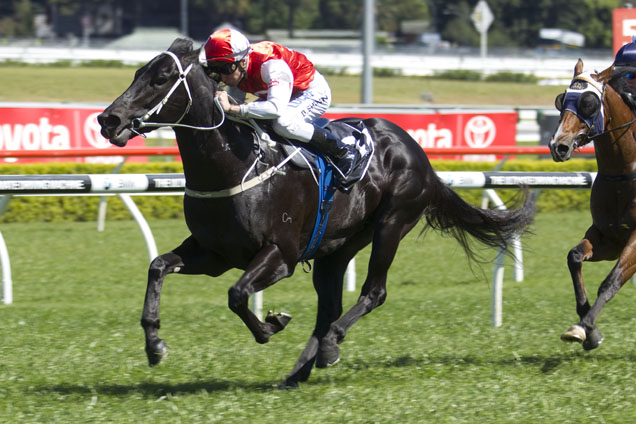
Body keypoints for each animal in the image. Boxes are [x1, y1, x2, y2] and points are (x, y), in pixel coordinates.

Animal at [98, 39, 536, 388]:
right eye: (138, 73)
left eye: (162, 78)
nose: (108, 119)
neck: (234, 166)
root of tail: (418, 154)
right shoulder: (214, 254)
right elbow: (157, 266)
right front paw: (155, 345)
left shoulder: (281, 255)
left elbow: (238, 294)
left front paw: (270, 326)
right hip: (337, 247)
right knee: (330, 307)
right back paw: (299, 371)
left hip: (392, 223)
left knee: (372, 293)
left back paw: (328, 346)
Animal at [548, 58, 636, 352]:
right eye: (561, 99)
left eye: (588, 102)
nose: (559, 146)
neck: (624, 172)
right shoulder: (608, 237)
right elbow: (574, 256)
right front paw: (589, 331)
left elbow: (611, 281)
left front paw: (583, 327)